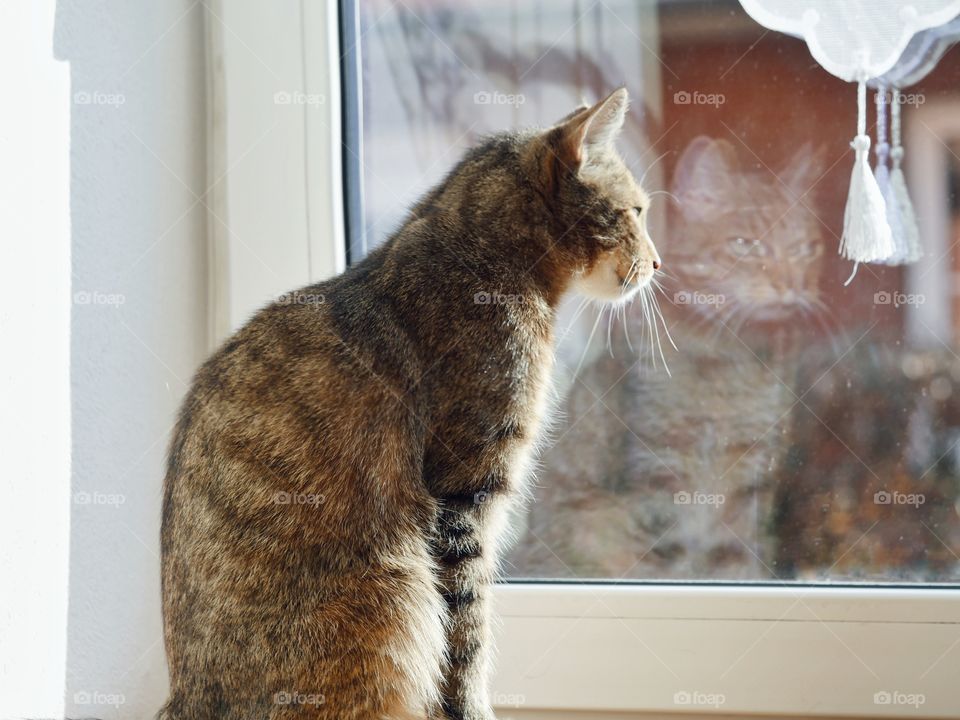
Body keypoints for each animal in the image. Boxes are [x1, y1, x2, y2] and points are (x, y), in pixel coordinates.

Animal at [163, 90, 660, 720]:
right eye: (636, 211)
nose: (659, 262)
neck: (480, 255)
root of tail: (181, 698)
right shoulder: (463, 497)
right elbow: (466, 641)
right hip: (394, 593)